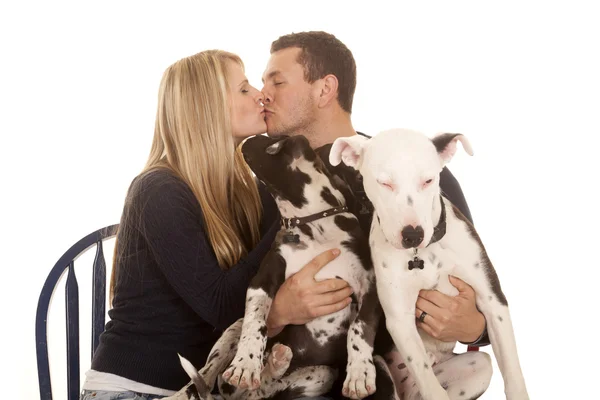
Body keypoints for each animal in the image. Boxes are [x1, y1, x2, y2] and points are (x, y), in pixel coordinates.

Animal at [166, 135, 396, 400]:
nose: (247, 138)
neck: (312, 224)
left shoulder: (370, 287)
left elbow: (360, 329)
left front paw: (359, 374)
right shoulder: (263, 280)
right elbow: (256, 321)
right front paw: (246, 364)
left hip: (322, 375)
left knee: (263, 390)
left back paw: (277, 362)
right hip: (231, 332)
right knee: (216, 374)